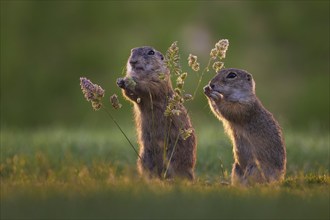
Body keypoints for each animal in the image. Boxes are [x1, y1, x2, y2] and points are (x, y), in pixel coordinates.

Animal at [117, 45, 197, 180]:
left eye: (151, 52)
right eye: (132, 51)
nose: (132, 61)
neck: (142, 74)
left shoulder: (159, 81)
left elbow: (150, 87)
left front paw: (130, 81)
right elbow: (131, 96)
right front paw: (120, 81)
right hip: (145, 159)